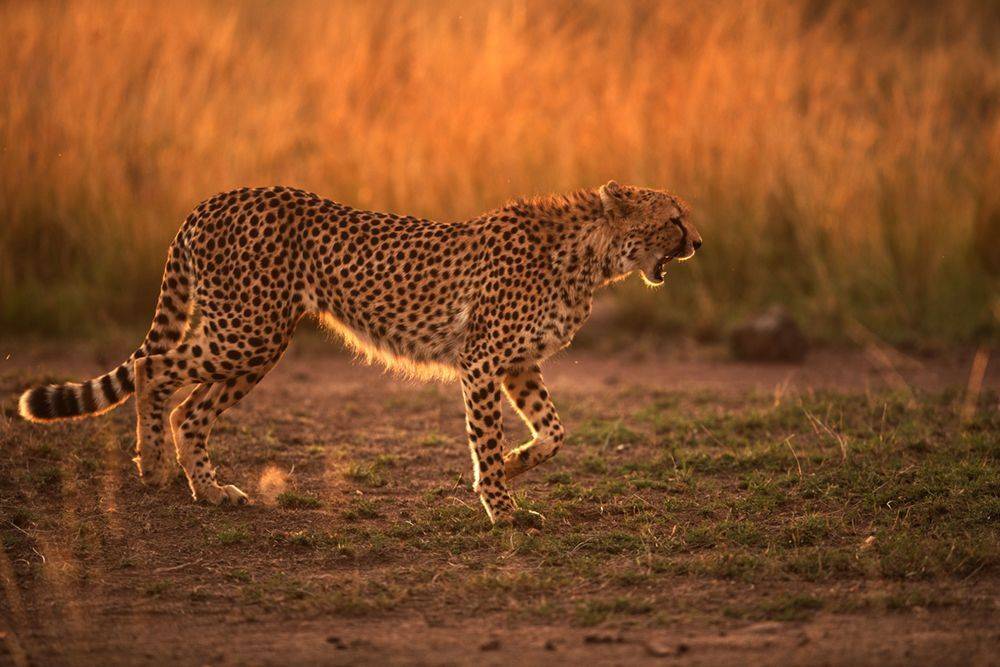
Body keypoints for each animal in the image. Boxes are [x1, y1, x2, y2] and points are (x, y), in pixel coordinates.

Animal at [18, 180, 701, 524]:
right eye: (674, 218)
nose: (698, 241)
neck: (592, 255)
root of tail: (215, 199)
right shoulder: (482, 359)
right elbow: (486, 437)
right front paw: (501, 505)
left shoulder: (519, 364)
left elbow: (555, 432)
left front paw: (516, 467)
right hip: (248, 330)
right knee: (153, 368)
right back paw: (153, 467)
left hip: (256, 341)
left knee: (191, 408)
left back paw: (210, 491)